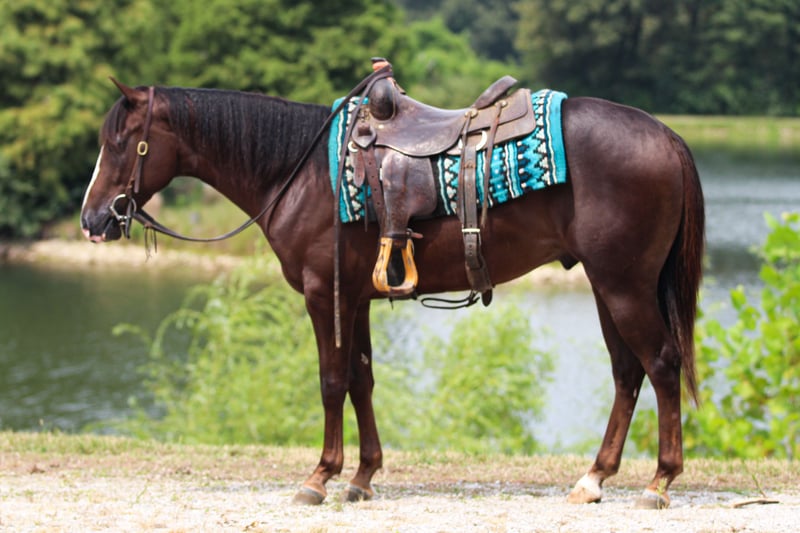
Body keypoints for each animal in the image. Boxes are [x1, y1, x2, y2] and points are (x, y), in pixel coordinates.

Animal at [80, 76, 704, 509]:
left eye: (123, 143)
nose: (92, 218)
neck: (300, 173)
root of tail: (667, 135)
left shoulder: (323, 295)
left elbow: (331, 382)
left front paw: (319, 477)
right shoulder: (355, 298)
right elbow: (361, 379)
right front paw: (361, 477)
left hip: (624, 285)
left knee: (661, 363)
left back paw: (659, 482)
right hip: (607, 285)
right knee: (627, 372)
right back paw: (594, 478)